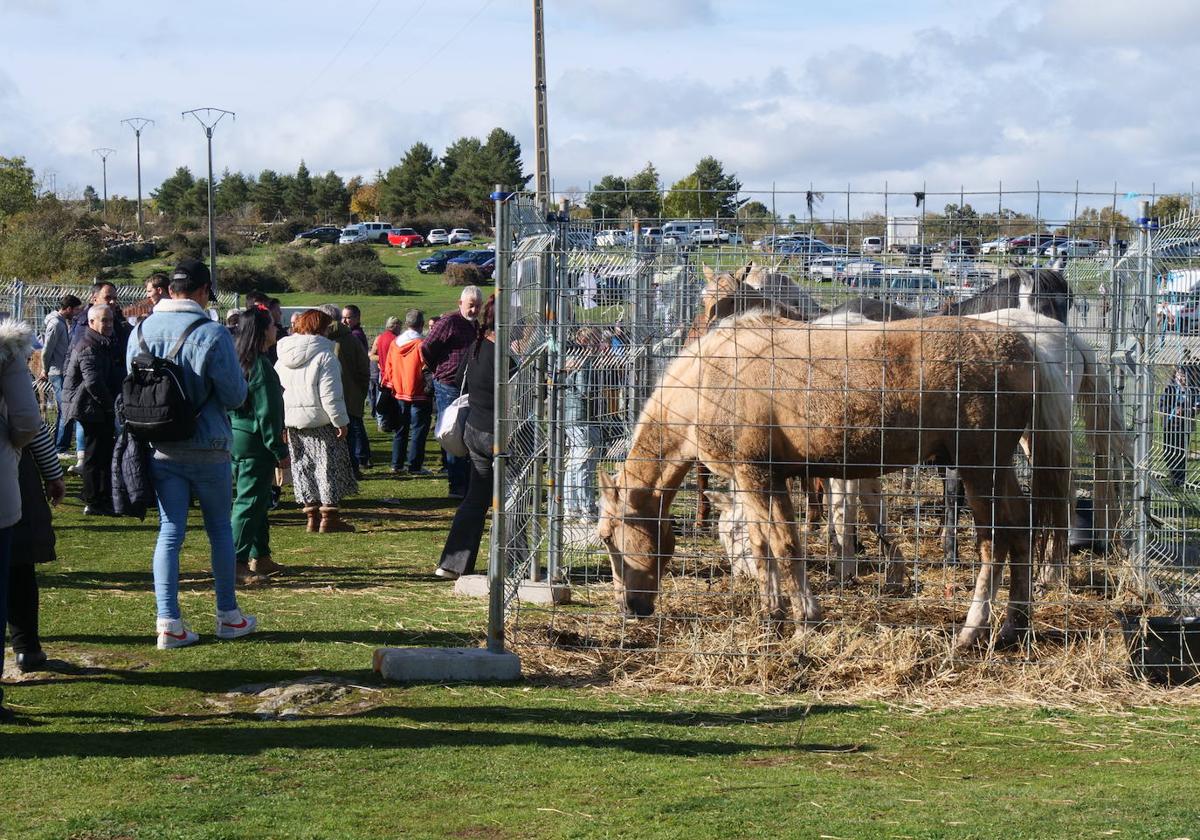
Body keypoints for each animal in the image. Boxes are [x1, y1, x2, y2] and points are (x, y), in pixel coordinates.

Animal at [595, 314, 1075, 648]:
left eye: (606, 537)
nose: (629, 608)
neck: (710, 377)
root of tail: (1025, 346)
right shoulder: (759, 481)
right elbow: (763, 546)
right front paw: (772, 614)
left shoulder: (758, 475)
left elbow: (786, 545)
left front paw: (806, 618)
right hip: (996, 468)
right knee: (1021, 530)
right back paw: (1014, 624)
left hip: (979, 468)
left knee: (996, 539)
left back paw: (973, 630)